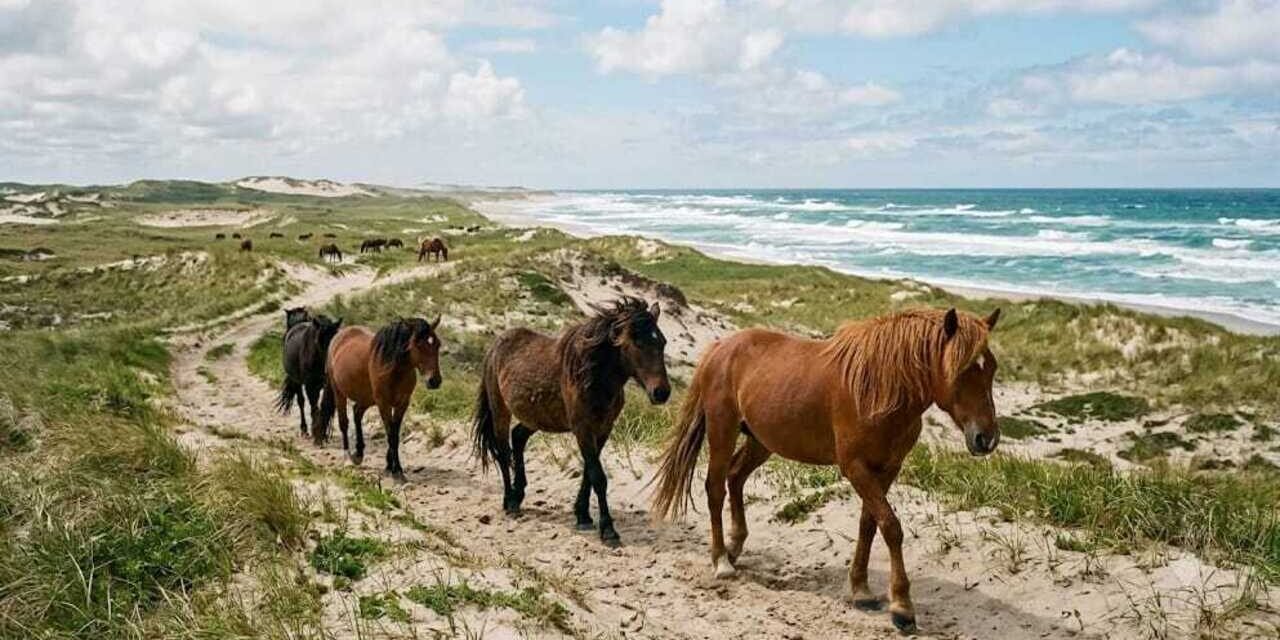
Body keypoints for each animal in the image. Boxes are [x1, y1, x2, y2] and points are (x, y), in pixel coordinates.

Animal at [276, 314, 343, 444]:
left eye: (335, 338)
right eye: (318, 341)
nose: (330, 365)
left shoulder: (327, 385)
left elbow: (324, 406)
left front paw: (322, 434)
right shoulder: (310, 386)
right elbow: (314, 408)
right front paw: (317, 435)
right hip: (296, 381)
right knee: (301, 402)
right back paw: (304, 430)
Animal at [320, 317, 443, 481]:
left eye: (437, 344)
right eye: (418, 345)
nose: (434, 381)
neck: (394, 368)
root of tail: (339, 336)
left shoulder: (402, 404)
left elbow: (395, 434)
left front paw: (391, 466)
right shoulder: (383, 404)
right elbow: (391, 434)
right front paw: (396, 470)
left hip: (366, 398)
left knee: (357, 413)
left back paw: (359, 454)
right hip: (340, 393)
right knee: (344, 423)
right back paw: (348, 458)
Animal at [472, 297, 671, 545]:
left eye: (662, 342)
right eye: (637, 343)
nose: (661, 392)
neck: (593, 376)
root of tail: (495, 346)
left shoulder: (603, 429)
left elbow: (588, 473)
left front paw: (583, 515)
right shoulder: (583, 429)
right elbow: (598, 477)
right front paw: (608, 529)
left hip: (536, 417)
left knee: (517, 437)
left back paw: (518, 495)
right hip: (500, 411)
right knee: (502, 452)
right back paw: (509, 501)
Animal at [650, 307, 1001, 633]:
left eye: (992, 368)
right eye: (963, 370)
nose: (986, 438)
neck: (879, 387)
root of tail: (721, 346)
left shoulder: (886, 470)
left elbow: (869, 525)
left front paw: (861, 590)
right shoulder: (855, 468)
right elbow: (891, 527)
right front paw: (902, 607)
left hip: (762, 441)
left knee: (735, 477)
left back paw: (735, 547)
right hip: (722, 431)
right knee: (715, 488)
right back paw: (721, 560)